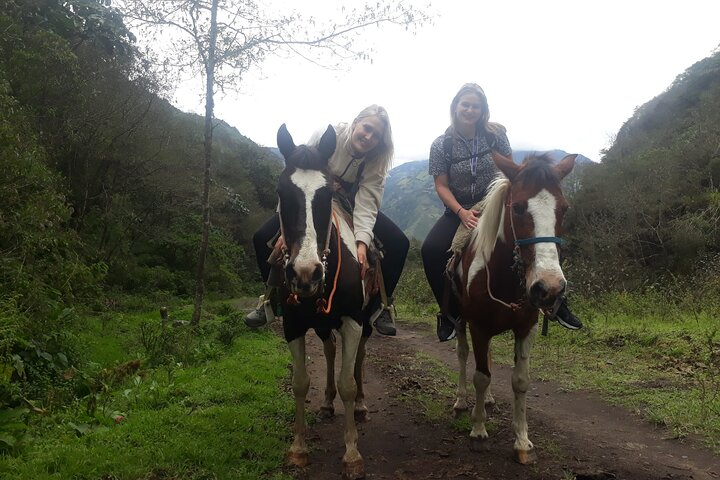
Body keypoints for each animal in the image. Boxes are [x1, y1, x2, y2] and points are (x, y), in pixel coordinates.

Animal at [274, 124, 368, 480]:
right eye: (281, 192)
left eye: (327, 195)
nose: (305, 272)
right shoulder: (293, 325)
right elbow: (300, 383)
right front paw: (298, 449)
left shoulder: (353, 321)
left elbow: (347, 384)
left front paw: (352, 454)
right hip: (323, 325)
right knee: (329, 351)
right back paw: (327, 404)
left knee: (358, 359)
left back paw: (361, 406)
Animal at [452, 152, 576, 464]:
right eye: (518, 208)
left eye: (564, 209)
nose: (549, 287)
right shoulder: (478, 327)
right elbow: (481, 376)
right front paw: (478, 431)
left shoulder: (525, 328)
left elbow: (520, 381)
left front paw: (522, 441)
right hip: (460, 321)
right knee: (462, 355)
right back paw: (461, 400)